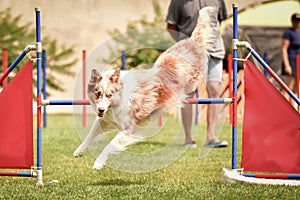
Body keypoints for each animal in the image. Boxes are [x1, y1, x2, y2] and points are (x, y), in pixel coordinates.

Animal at [73, 6, 218, 170]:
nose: (101, 109)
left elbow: (109, 145)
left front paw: (98, 162)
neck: (117, 101)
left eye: (110, 95)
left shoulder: (130, 128)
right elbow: (90, 134)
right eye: (97, 94)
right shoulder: (106, 120)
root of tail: (191, 41)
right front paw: (79, 151)